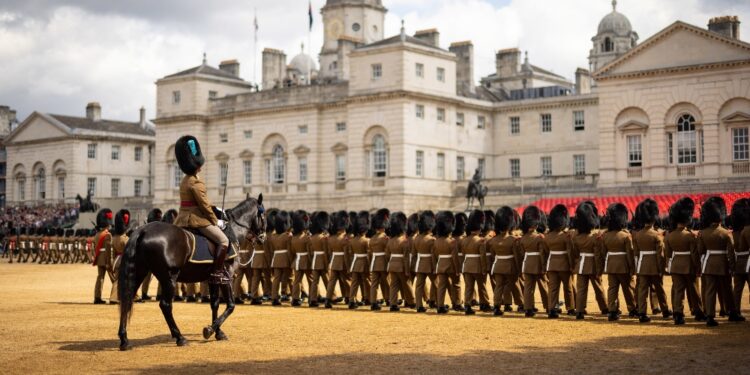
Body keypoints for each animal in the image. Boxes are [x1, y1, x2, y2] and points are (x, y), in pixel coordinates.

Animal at [117, 195, 268, 352]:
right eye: (263, 214)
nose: (263, 237)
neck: (233, 232)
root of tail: (142, 230)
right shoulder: (227, 276)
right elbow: (230, 305)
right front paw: (210, 330)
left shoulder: (213, 278)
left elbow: (215, 304)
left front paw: (218, 332)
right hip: (169, 278)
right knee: (165, 305)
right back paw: (180, 337)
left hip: (139, 273)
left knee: (127, 299)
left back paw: (124, 340)